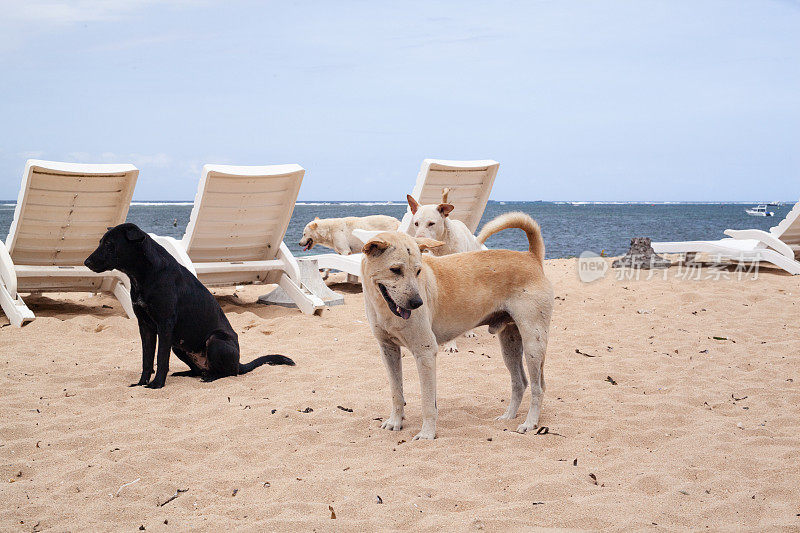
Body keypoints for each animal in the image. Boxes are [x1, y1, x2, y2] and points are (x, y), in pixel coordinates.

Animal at [86, 220, 292, 386]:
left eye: (109, 244)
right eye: (101, 242)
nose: (86, 262)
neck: (143, 275)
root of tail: (239, 363)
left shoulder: (165, 324)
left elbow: (161, 358)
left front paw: (156, 384)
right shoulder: (145, 326)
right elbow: (147, 359)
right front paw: (141, 383)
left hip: (215, 340)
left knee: (228, 373)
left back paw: (211, 377)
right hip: (178, 346)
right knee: (198, 370)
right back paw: (186, 373)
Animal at [360, 212, 552, 440]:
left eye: (418, 271)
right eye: (395, 270)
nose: (417, 303)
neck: (383, 306)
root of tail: (531, 257)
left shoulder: (425, 352)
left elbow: (428, 402)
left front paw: (427, 434)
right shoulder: (388, 350)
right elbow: (396, 392)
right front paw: (395, 422)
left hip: (533, 344)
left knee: (538, 387)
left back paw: (530, 423)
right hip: (510, 345)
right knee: (520, 382)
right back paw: (508, 416)